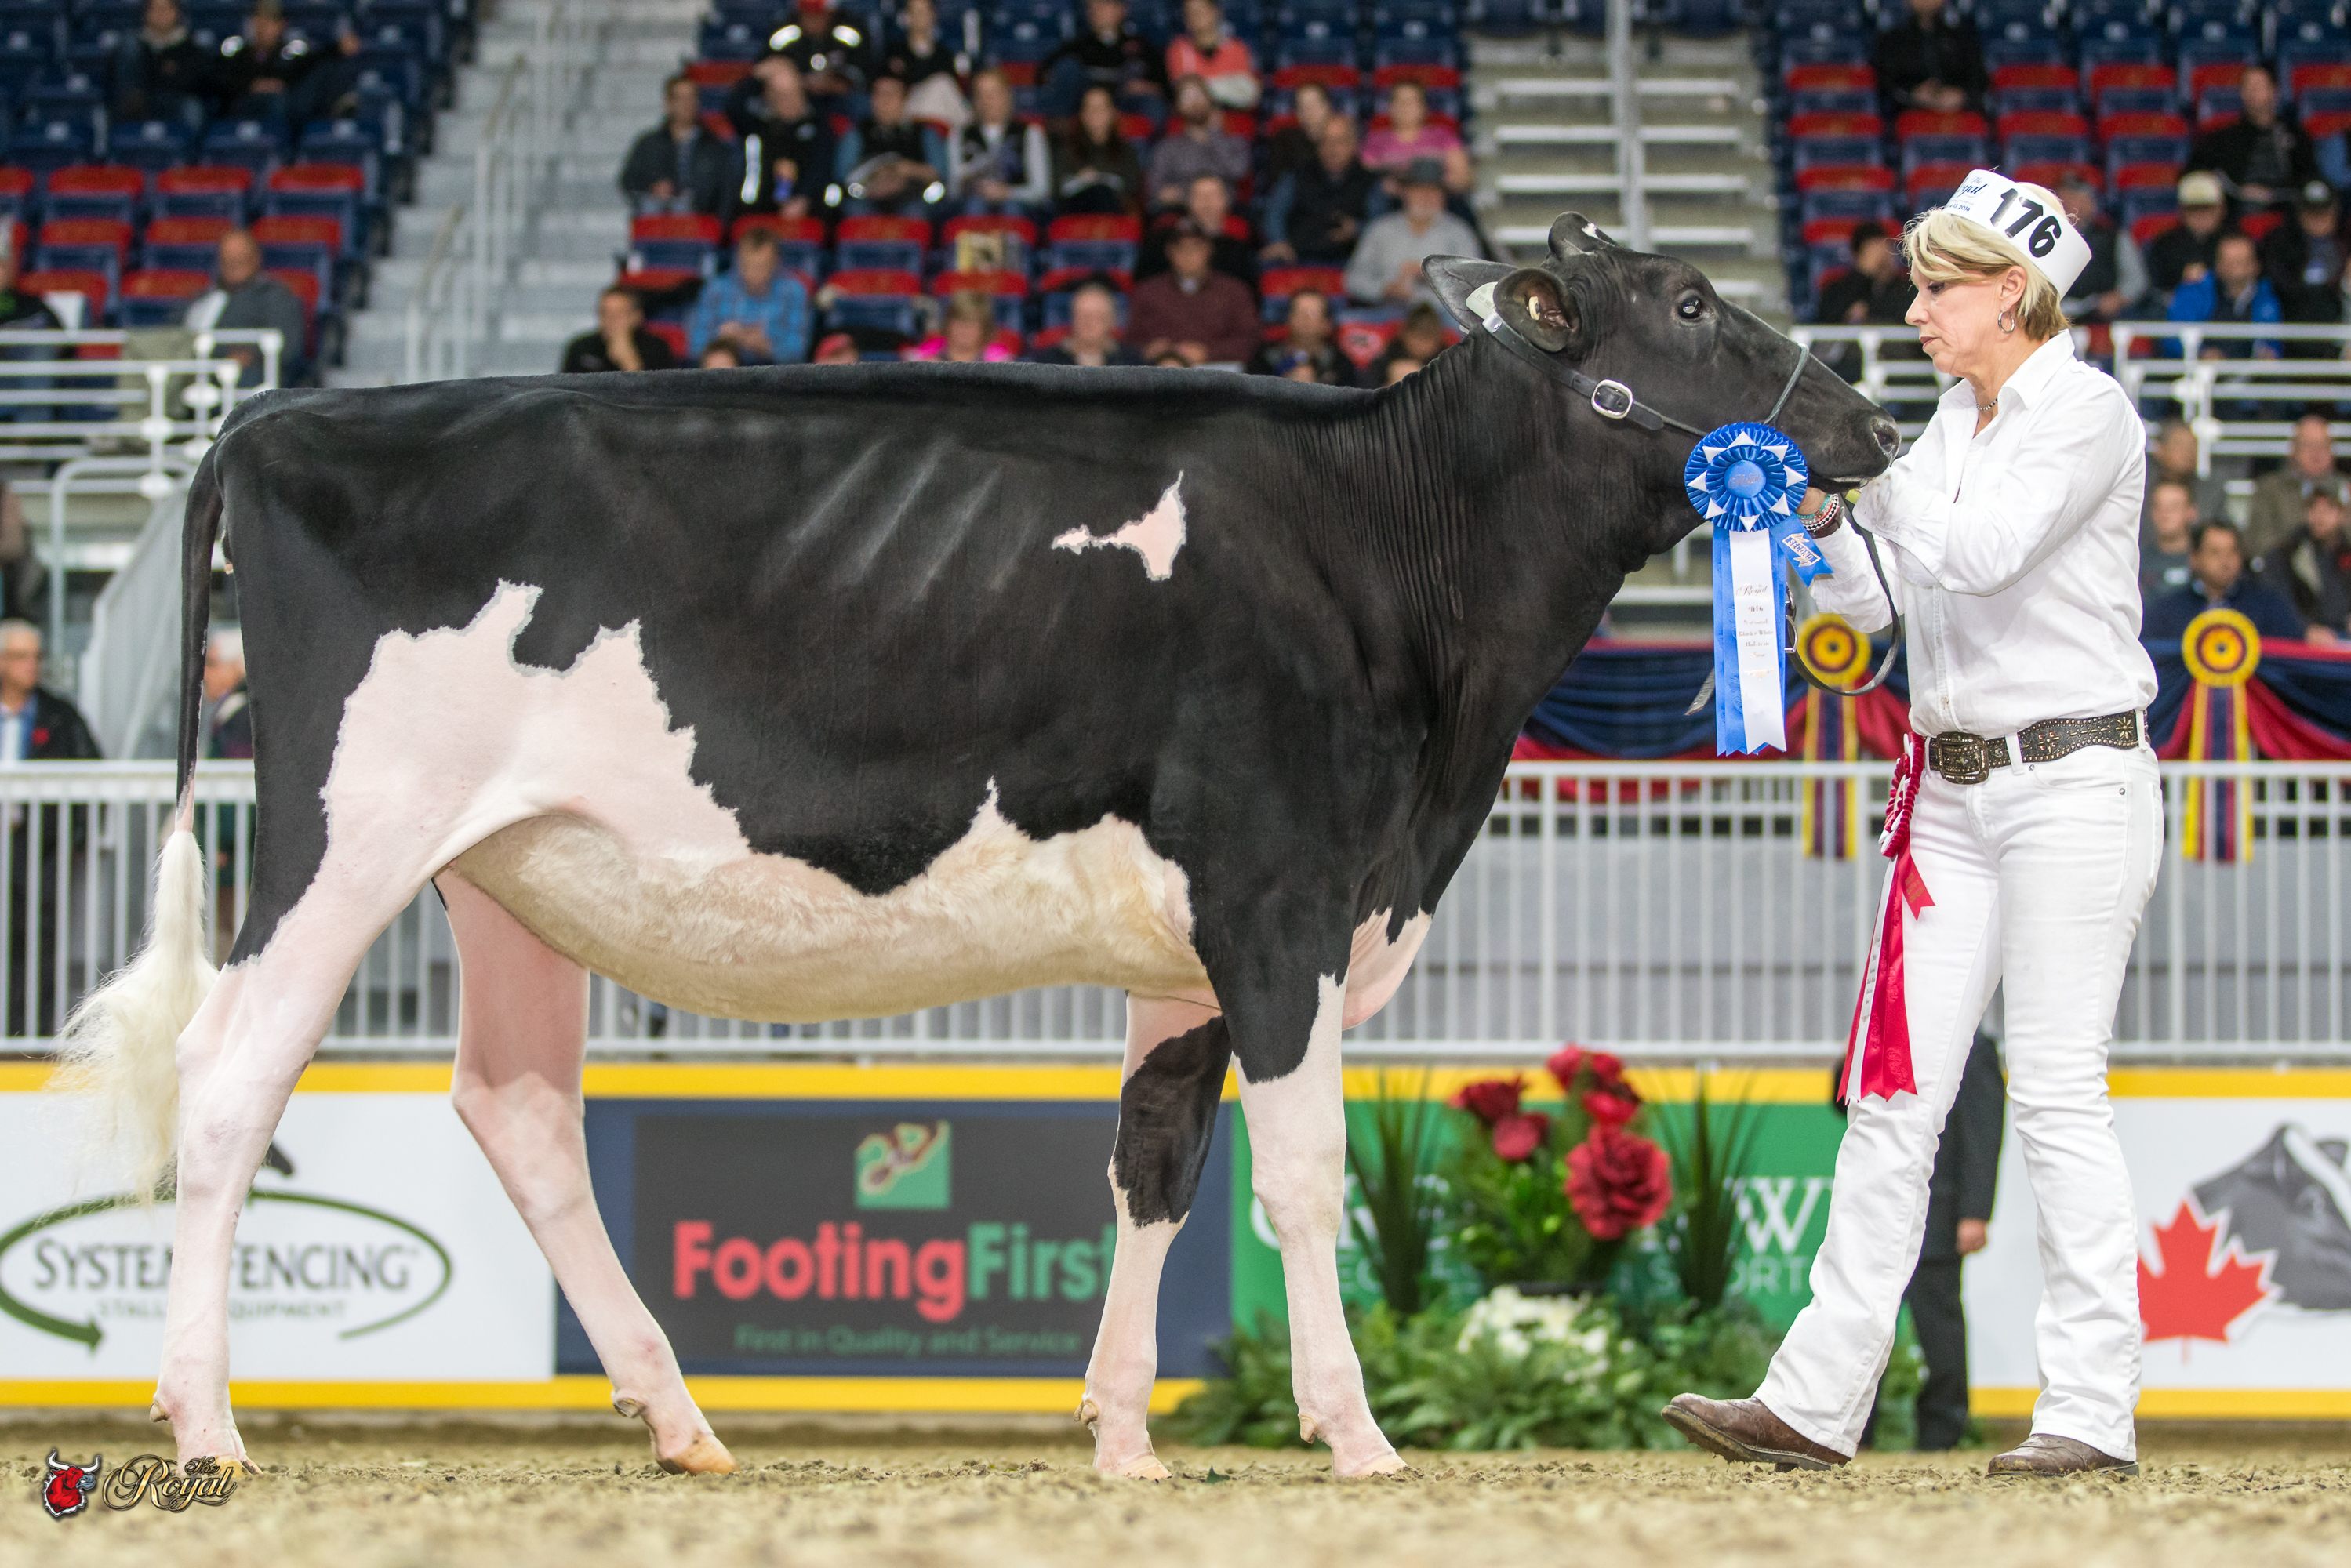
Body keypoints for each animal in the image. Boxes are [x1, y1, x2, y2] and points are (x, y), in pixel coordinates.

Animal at [59, 214, 1896, 1482]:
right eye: (1686, 305)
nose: (1872, 423)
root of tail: (281, 424)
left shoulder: (1194, 949)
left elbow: (1154, 1162)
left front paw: (1123, 1435)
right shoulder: (1281, 896)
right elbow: (1298, 1176)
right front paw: (1353, 1431)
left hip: (505, 870)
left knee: (518, 1112)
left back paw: (676, 1418)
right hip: (341, 838)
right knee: (230, 1076)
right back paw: (206, 1420)